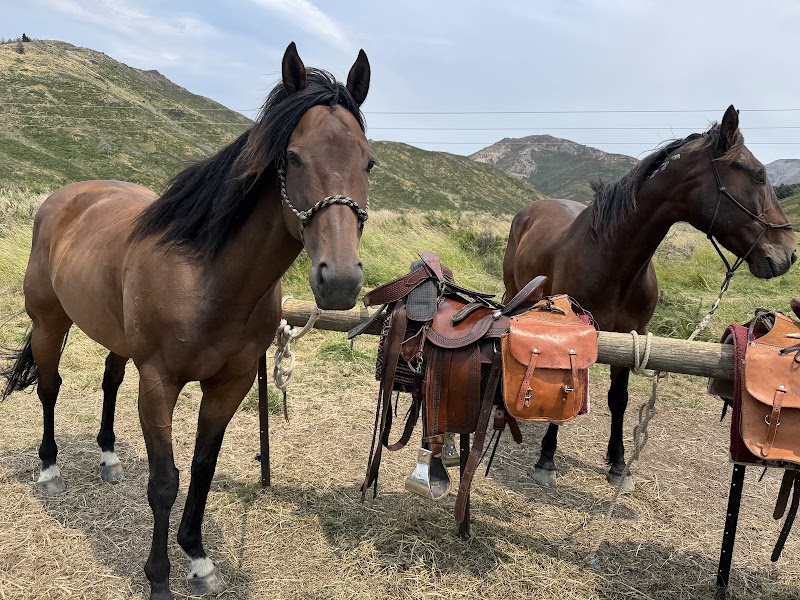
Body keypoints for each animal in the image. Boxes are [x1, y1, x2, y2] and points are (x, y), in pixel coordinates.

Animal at [0, 42, 373, 600]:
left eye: (369, 161)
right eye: (292, 157)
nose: (341, 279)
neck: (209, 277)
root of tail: (63, 199)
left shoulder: (230, 384)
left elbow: (201, 467)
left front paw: (197, 558)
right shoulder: (160, 382)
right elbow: (164, 481)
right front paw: (160, 578)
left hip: (115, 338)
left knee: (109, 382)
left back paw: (108, 457)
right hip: (50, 323)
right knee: (49, 387)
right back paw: (49, 471)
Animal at [503, 106, 796, 492]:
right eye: (758, 175)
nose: (789, 253)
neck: (610, 256)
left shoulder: (632, 338)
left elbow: (619, 400)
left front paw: (618, 464)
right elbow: (568, 386)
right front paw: (546, 460)